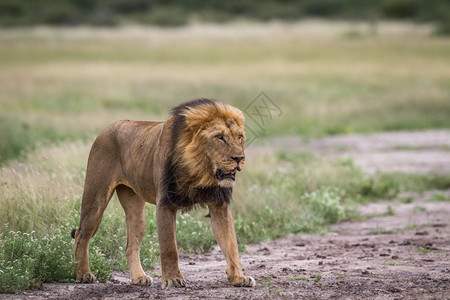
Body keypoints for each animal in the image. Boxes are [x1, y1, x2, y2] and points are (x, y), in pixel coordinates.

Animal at [69, 99, 255, 288]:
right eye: (219, 137)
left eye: (240, 137)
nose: (239, 158)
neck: (200, 170)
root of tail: (106, 129)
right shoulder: (165, 203)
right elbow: (169, 247)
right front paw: (172, 279)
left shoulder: (219, 205)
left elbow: (231, 244)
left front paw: (238, 277)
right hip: (96, 198)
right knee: (81, 235)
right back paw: (83, 274)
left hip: (136, 210)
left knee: (130, 246)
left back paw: (139, 277)